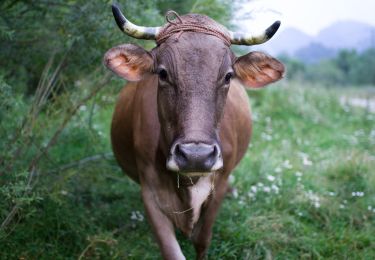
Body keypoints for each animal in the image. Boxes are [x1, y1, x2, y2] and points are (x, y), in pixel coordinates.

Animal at [103, 4, 284, 260]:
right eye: (162, 73)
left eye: (228, 76)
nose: (195, 155)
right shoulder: (150, 193)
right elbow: (172, 251)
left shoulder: (218, 186)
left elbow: (201, 239)